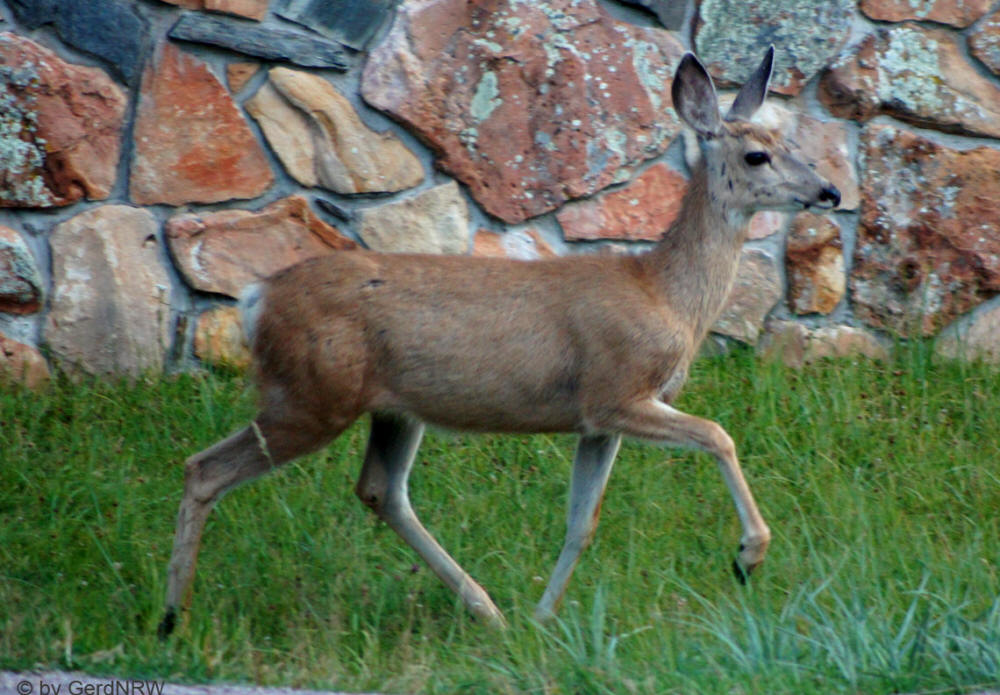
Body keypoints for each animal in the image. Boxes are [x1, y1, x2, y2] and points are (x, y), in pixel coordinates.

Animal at [157, 46, 840, 637]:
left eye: (792, 143)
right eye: (757, 156)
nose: (830, 191)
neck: (663, 294)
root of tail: (256, 299)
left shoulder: (598, 422)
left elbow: (582, 522)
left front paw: (544, 618)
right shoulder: (617, 390)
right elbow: (718, 435)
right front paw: (748, 555)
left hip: (390, 408)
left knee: (380, 490)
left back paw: (489, 611)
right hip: (312, 395)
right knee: (203, 468)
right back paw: (171, 618)